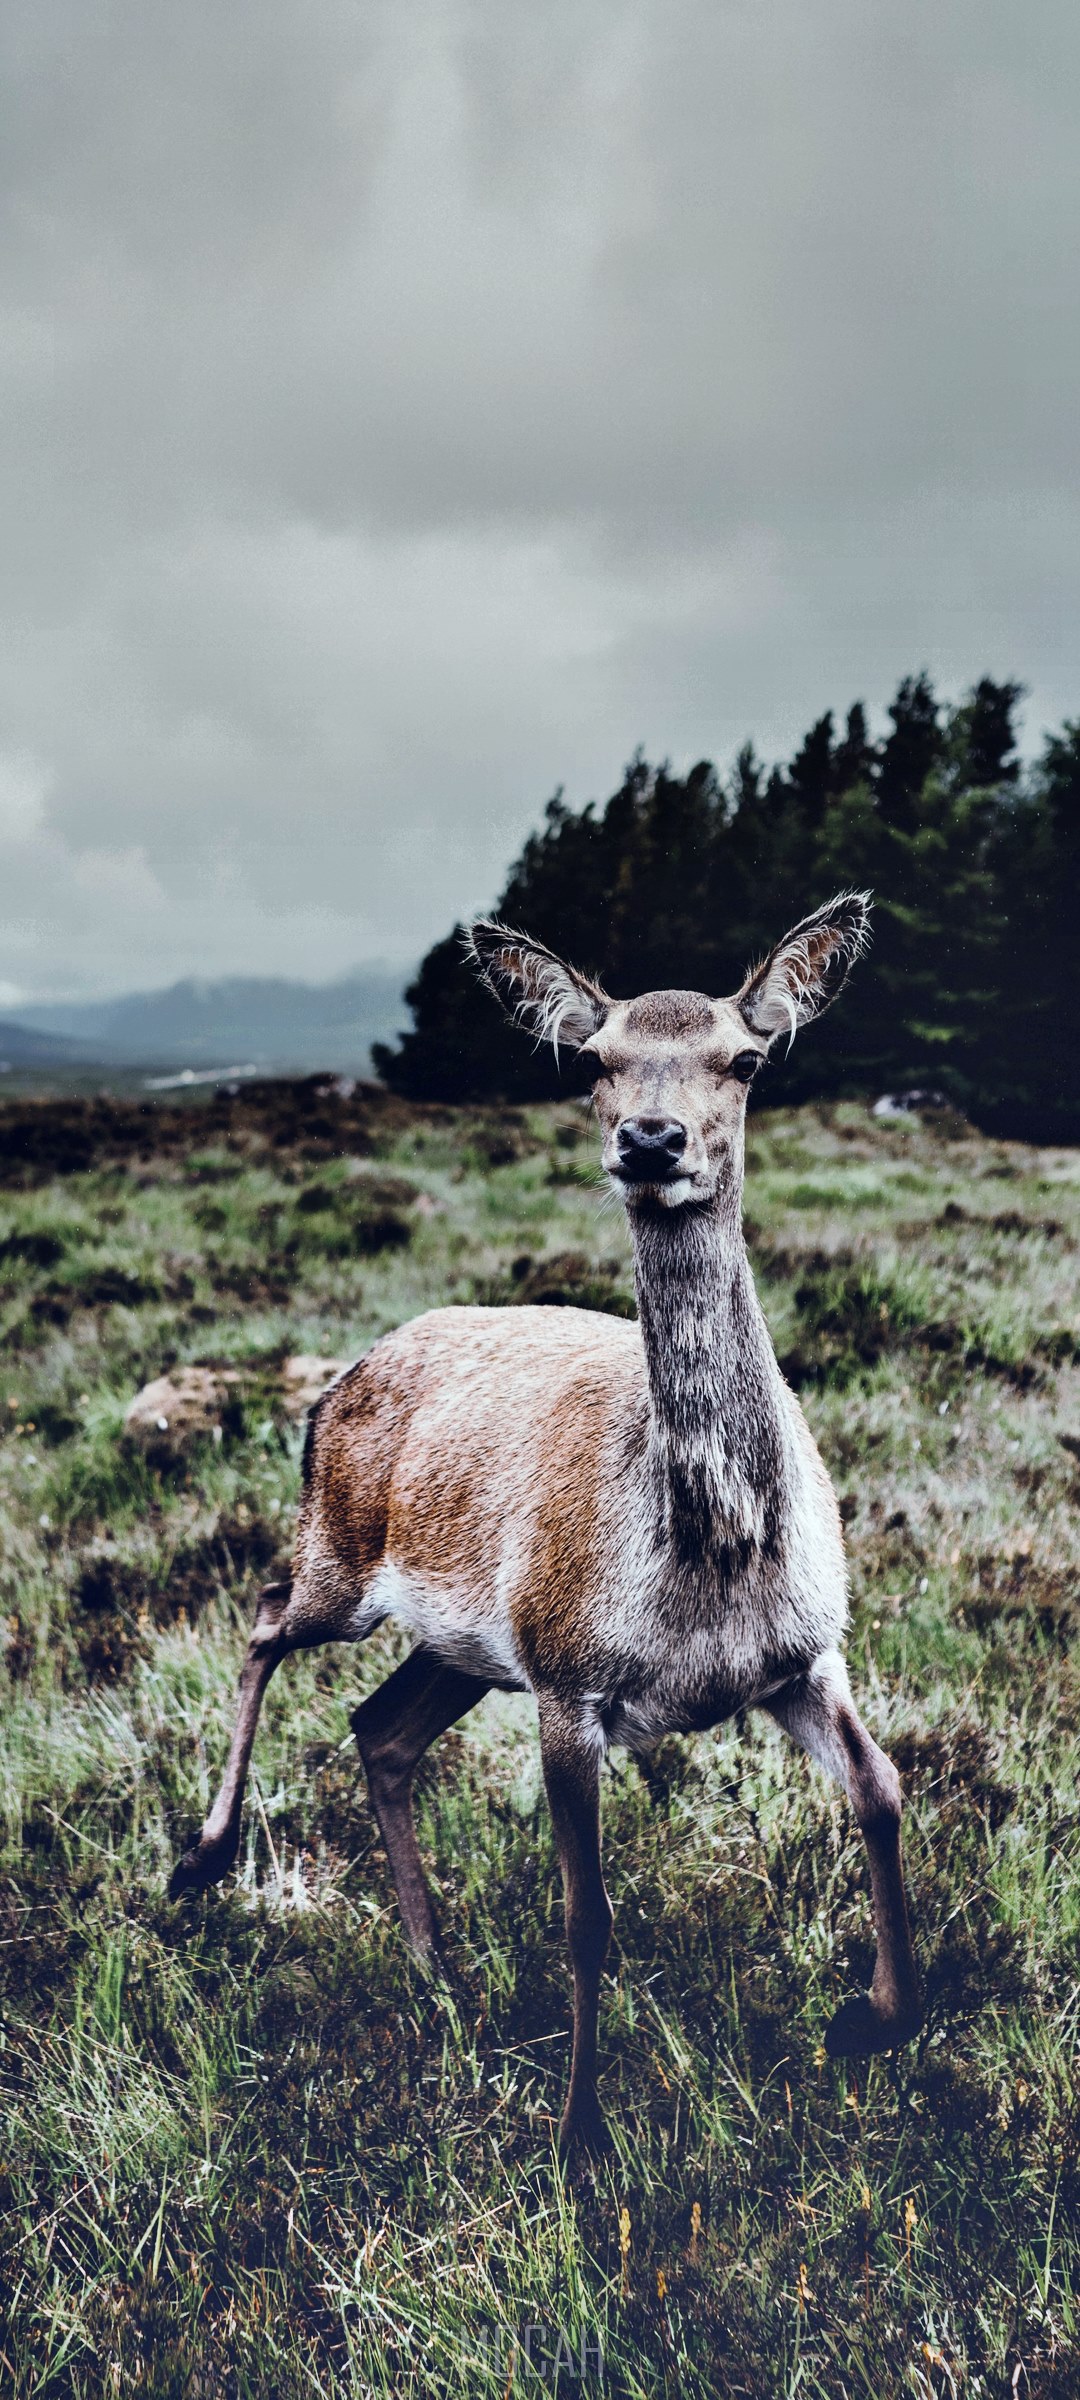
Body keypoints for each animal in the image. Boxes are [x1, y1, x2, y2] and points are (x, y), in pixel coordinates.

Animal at [170, 892, 922, 2156]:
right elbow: (587, 1916)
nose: (654, 1141)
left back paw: (440, 1973)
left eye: (746, 1058)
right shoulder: (572, 1681)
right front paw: (579, 2142)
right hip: (346, 1558)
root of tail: (338, 1382)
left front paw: (874, 2018)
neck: (714, 1557)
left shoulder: (807, 1655)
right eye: (597, 1059)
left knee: (382, 1730)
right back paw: (202, 1860)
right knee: (267, 1615)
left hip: (467, 1646)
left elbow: (883, 1789)